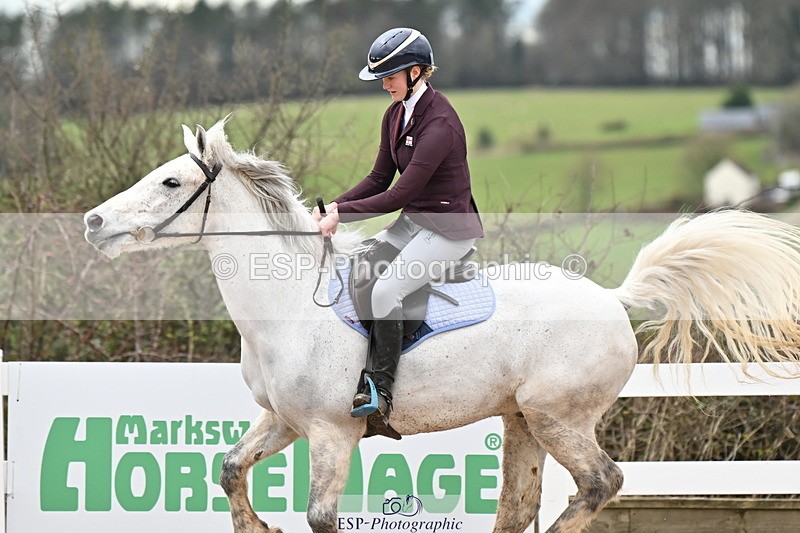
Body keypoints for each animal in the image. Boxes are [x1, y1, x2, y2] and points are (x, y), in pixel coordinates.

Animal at [84, 117, 800, 533]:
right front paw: (256, 527)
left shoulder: (331, 431)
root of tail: (611, 298)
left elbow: (321, 516)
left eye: (171, 182)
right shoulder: (283, 420)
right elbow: (230, 469)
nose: (93, 222)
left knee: (600, 484)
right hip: (522, 420)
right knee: (518, 506)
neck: (287, 304)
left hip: (558, 416)